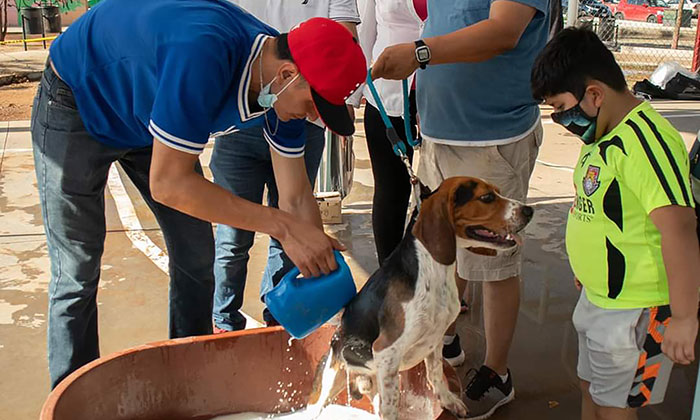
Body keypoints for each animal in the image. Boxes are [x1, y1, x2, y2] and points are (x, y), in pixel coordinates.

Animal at [308, 176, 532, 418]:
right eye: (487, 197)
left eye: (498, 191)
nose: (529, 211)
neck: (433, 268)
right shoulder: (386, 351)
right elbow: (392, 405)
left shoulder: (435, 340)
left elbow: (435, 375)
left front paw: (448, 401)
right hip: (327, 387)